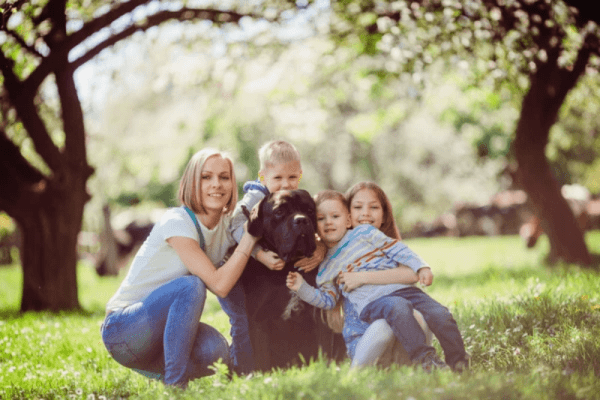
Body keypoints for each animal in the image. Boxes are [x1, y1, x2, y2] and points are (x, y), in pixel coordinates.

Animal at [238, 191, 344, 372]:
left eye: (309, 210)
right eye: (279, 211)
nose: (301, 220)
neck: (287, 268)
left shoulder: (320, 314)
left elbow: (323, 350)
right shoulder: (258, 320)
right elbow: (261, 359)